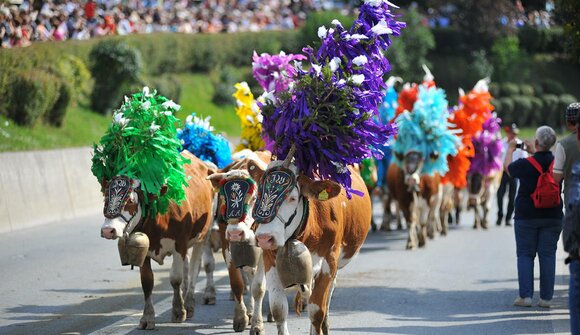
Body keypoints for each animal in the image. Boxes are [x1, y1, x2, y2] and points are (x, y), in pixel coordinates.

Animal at [99, 152, 215, 330]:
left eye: (130, 201)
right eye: (106, 198)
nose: (107, 230)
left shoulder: (179, 245)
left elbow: (175, 278)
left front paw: (178, 311)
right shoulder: (144, 250)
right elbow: (147, 283)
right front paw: (147, 318)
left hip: (203, 235)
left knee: (195, 266)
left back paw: (189, 303)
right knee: (187, 266)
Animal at [207, 151, 274, 334]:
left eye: (254, 198)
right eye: (223, 198)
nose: (236, 232)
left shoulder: (265, 250)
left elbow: (258, 287)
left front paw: (257, 324)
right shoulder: (227, 245)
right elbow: (237, 284)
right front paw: (240, 318)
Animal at [246, 152, 372, 335]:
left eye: (292, 198)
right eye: (258, 195)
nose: (264, 237)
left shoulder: (329, 261)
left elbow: (317, 310)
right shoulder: (270, 258)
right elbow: (278, 308)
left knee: (327, 294)